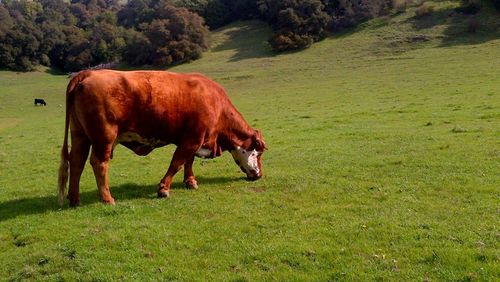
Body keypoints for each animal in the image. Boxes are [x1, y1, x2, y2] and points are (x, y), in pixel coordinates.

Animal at [57, 70, 268, 207]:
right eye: (258, 152)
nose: (259, 175)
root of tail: (88, 73)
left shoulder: (193, 139)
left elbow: (188, 162)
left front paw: (190, 182)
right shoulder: (192, 139)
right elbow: (177, 162)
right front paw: (163, 189)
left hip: (80, 135)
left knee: (77, 162)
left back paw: (75, 199)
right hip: (104, 138)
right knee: (99, 163)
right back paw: (107, 198)